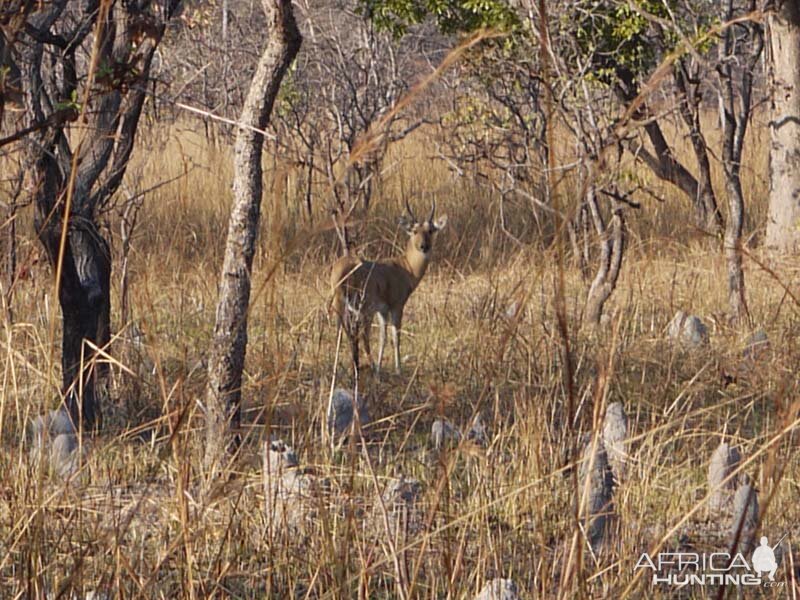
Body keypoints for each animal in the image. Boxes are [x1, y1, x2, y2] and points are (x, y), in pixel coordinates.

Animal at [328, 200, 446, 376]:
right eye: (414, 231)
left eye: (430, 230)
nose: (423, 246)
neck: (406, 268)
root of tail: (339, 271)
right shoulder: (397, 305)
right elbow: (395, 336)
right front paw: (398, 369)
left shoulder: (382, 310)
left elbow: (383, 337)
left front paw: (381, 366)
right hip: (364, 307)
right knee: (362, 335)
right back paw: (367, 367)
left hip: (342, 305)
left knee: (340, 333)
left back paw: (343, 368)